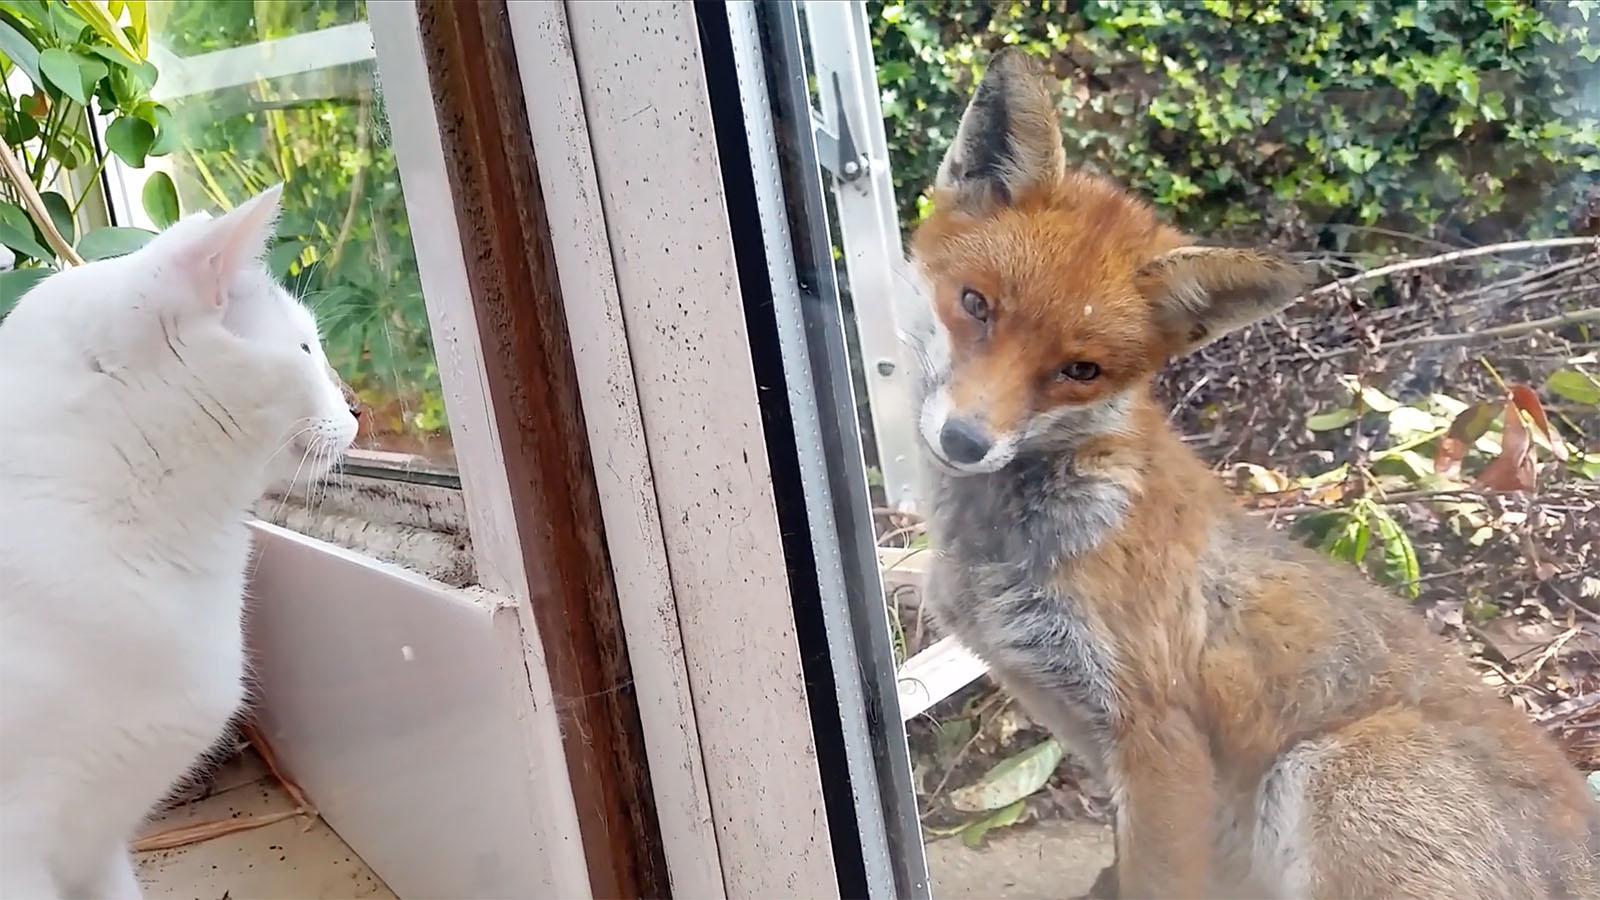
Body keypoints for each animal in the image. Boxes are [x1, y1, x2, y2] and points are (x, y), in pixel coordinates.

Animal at [901, 47, 1599, 899]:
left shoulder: (1159, 740)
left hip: (1335, 773)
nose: (965, 441)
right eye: (976, 305)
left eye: (1080, 370)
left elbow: (1154, 879)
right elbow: (1116, 868)